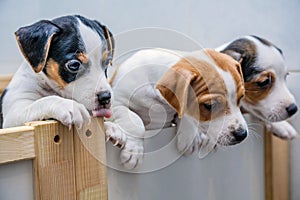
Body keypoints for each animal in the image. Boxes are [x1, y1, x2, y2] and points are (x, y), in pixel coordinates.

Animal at [0, 14, 125, 144]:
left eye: (107, 62)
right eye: (74, 65)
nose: (105, 97)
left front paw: (111, 126)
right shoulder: (13, 115)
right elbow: (43, 101)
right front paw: (68, 105)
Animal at [108, 48, 248, 169]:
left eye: (241, 98)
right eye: (209, 106)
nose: (242, 134)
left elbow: (184, 112)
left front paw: (190, 137)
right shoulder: (116, 103)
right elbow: (136, 121)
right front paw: (134, 151)